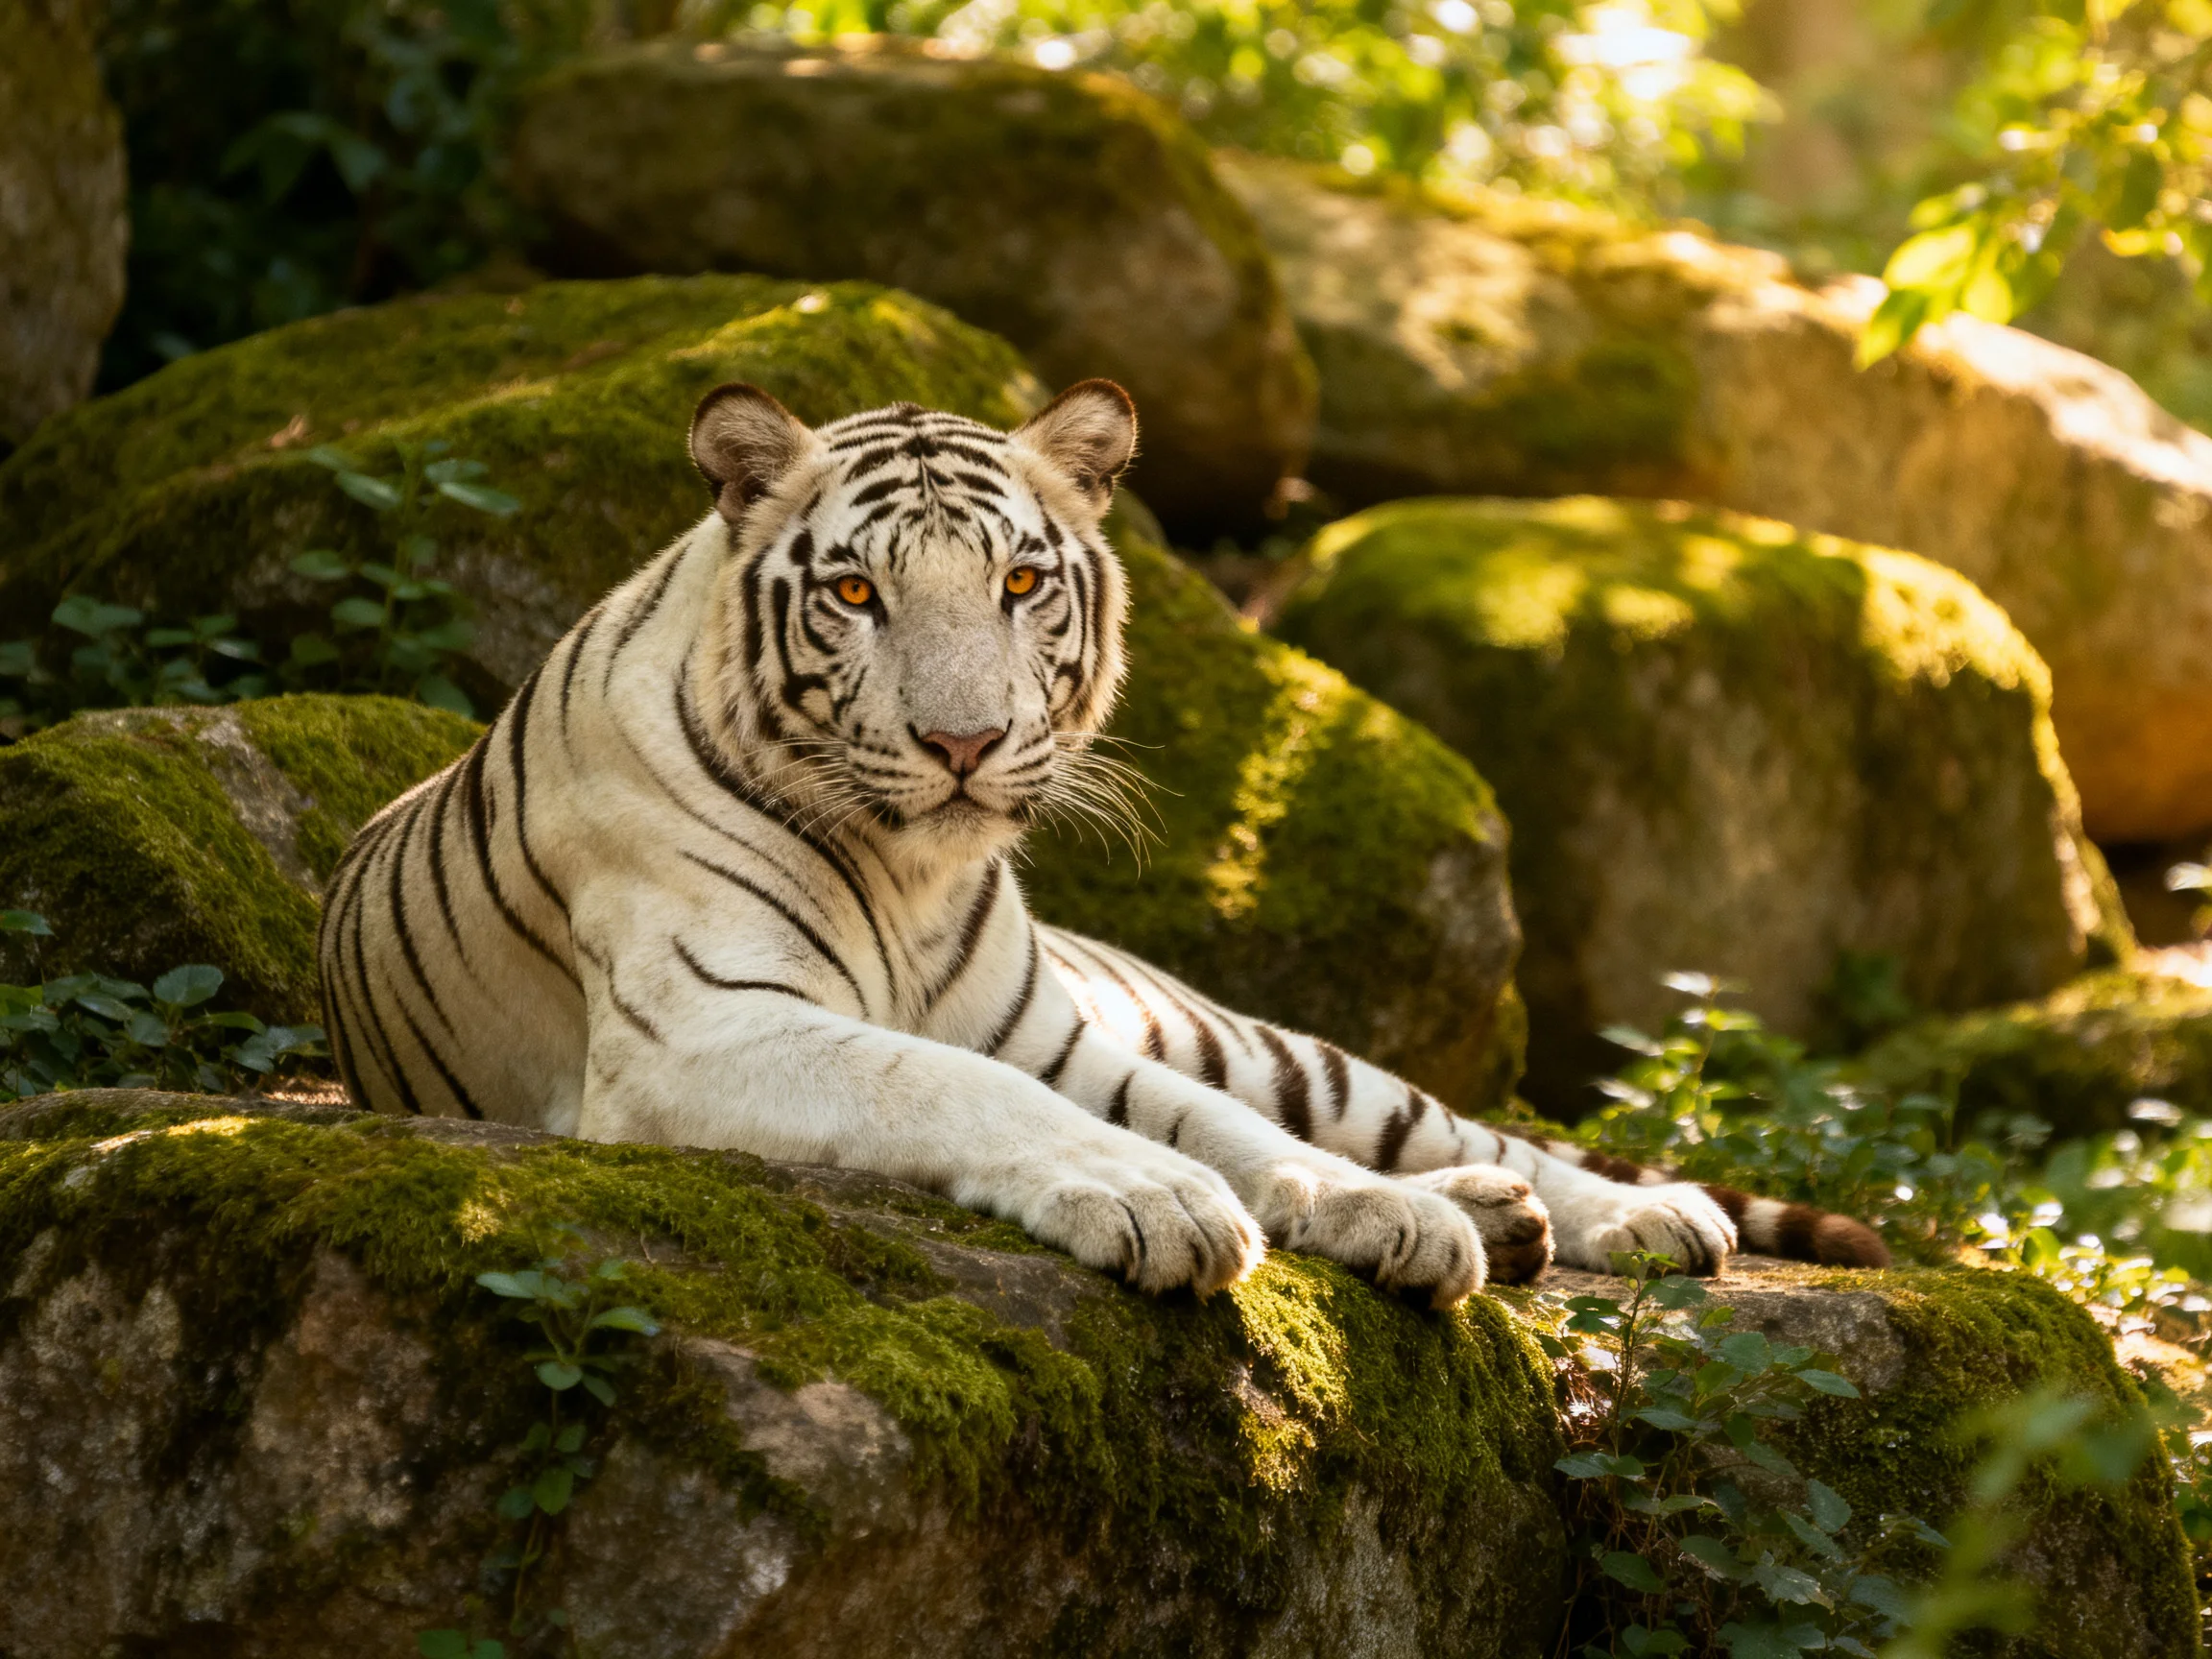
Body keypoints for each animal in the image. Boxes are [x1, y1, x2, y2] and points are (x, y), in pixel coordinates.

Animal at [318, 378, 1888, 1304]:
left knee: (1460, 1128)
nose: (961, 743)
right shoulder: (701, 1032)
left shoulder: (1065, 1040)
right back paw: (1498, 1220)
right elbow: (947, 1086)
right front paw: (1160, 1204)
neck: (912, 869)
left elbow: (1230, 1133)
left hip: (1278, 1047)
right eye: (855, 593)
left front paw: (1372, 1215)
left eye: (1020, 583)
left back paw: (1621, 1214)